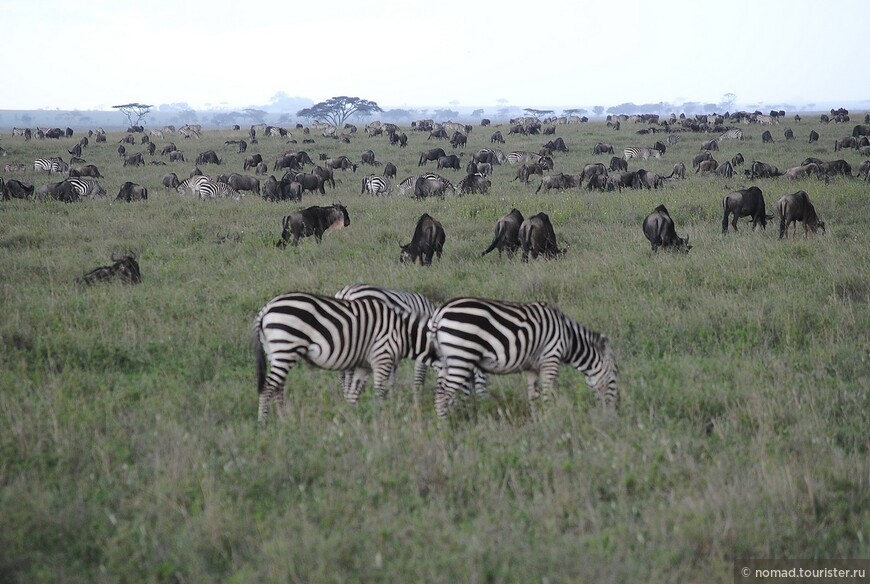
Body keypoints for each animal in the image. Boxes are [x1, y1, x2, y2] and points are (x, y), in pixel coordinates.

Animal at [252, 294, 432, 422]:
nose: (419, 404)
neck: (404, 333)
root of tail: (266, 308)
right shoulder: (382, 356)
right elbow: (380, 390)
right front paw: (384, 416)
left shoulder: (368, 363)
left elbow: (357, 391)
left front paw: (353, 417)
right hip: (286, 347)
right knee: (268, 386)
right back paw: (263, 423)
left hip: (275, 351)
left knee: (278, 386)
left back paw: (283, 419)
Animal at [428, 296, 620, 420]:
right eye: (614, 377)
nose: (614, 412)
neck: (569, 337)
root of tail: (440, 311)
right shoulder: (551, 358)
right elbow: (548, 392)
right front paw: (551, 418)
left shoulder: (532, 367)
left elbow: (533, 396)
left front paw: (537, 422)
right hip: (462, 356)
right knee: (443, 394)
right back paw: (445, 429)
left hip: (447, 361)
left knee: (438, 391)